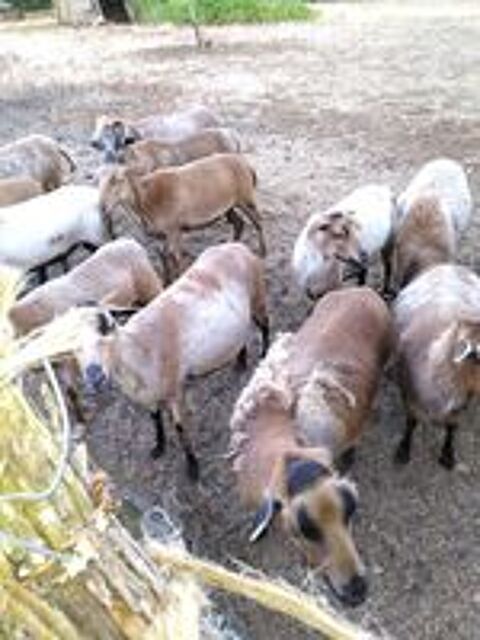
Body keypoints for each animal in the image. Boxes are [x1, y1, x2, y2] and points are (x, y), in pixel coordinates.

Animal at [77, 242, 270, 481]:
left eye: (107, 326)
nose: (94, 375)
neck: (137, 350)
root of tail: (236, 246)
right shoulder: (147, 396)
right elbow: (155, 418)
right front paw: (158, 447)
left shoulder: (174, 389)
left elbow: (179, 427)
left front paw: (192, 467)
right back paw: (240, 362)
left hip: (258, 297)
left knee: (265, 325)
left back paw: (264, 354)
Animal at [99, 153, 265, 280]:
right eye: (99, 182)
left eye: (118, 180)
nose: (103, 206)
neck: (146, 202)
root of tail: (247, 165)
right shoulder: (165, 233)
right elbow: (164, 256)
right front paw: (166, 281)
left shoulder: (174, 228)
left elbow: (175, 257)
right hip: (228, 206)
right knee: (239, 223)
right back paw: (229, 247)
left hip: (245, 199)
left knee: (258, 222)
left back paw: (263, 252)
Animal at [392, 263, 480, 469]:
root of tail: (449, 265)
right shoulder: (409, 394)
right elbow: (411, 422)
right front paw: (404, 450)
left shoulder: (462, 400)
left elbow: (452, 426)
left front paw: (448, 455)